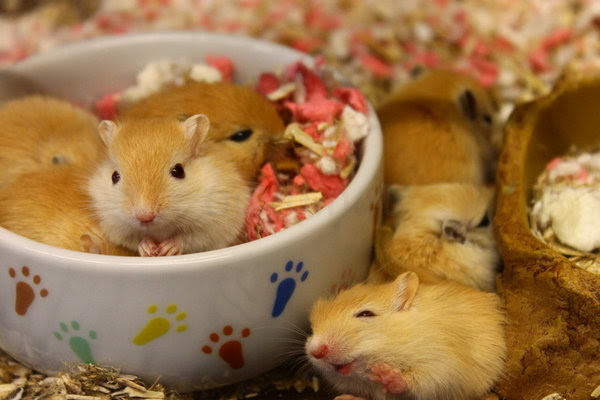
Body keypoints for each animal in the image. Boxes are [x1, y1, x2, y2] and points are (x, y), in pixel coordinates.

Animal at [89, 81, 286, 256]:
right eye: (115, 176)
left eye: (178, 171)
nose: (145, 216)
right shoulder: (115, 225)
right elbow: (136, 240)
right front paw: (149, 250)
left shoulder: (212, 222)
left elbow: (187, 238)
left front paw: (167, 249)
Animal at [304, 272, 506, 400]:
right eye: (312, 328)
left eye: (366, 314)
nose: (315, 351)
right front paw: (344, 397)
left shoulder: (442, 365)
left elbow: (418, 381)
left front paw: (385, 374)